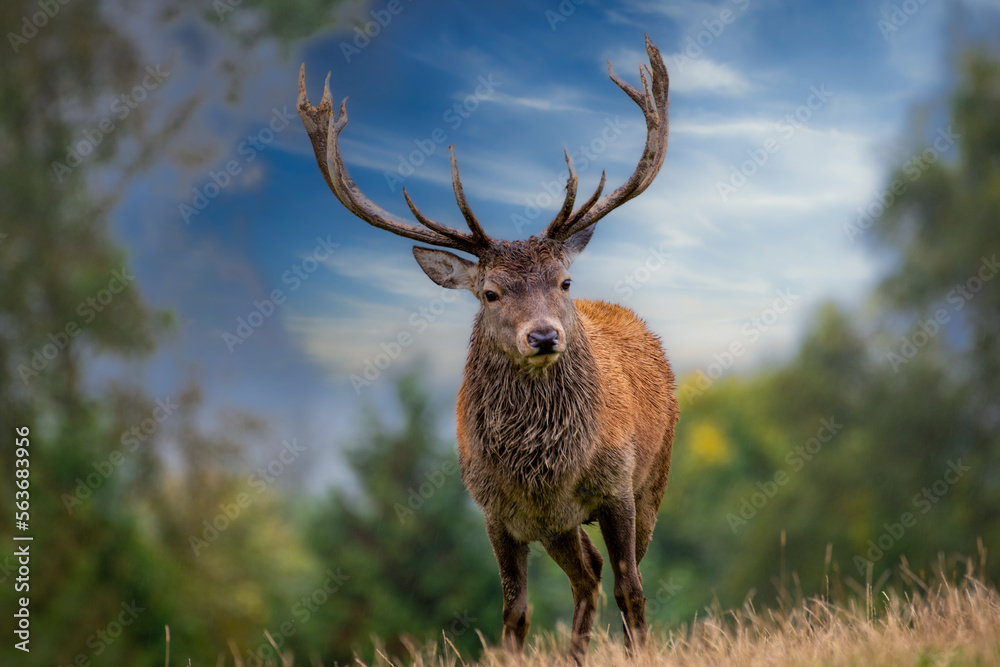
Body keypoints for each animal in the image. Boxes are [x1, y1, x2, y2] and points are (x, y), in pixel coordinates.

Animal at [297, 34, 678, 665]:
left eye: (564, 282)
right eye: (491, 292)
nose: (545, 336)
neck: (548, 468)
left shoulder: (619, 486)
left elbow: (635, 592)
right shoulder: (497, 512)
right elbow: (515, 611)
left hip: (656, 476)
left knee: (618, 576)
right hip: (556, 526)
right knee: (588, 575)